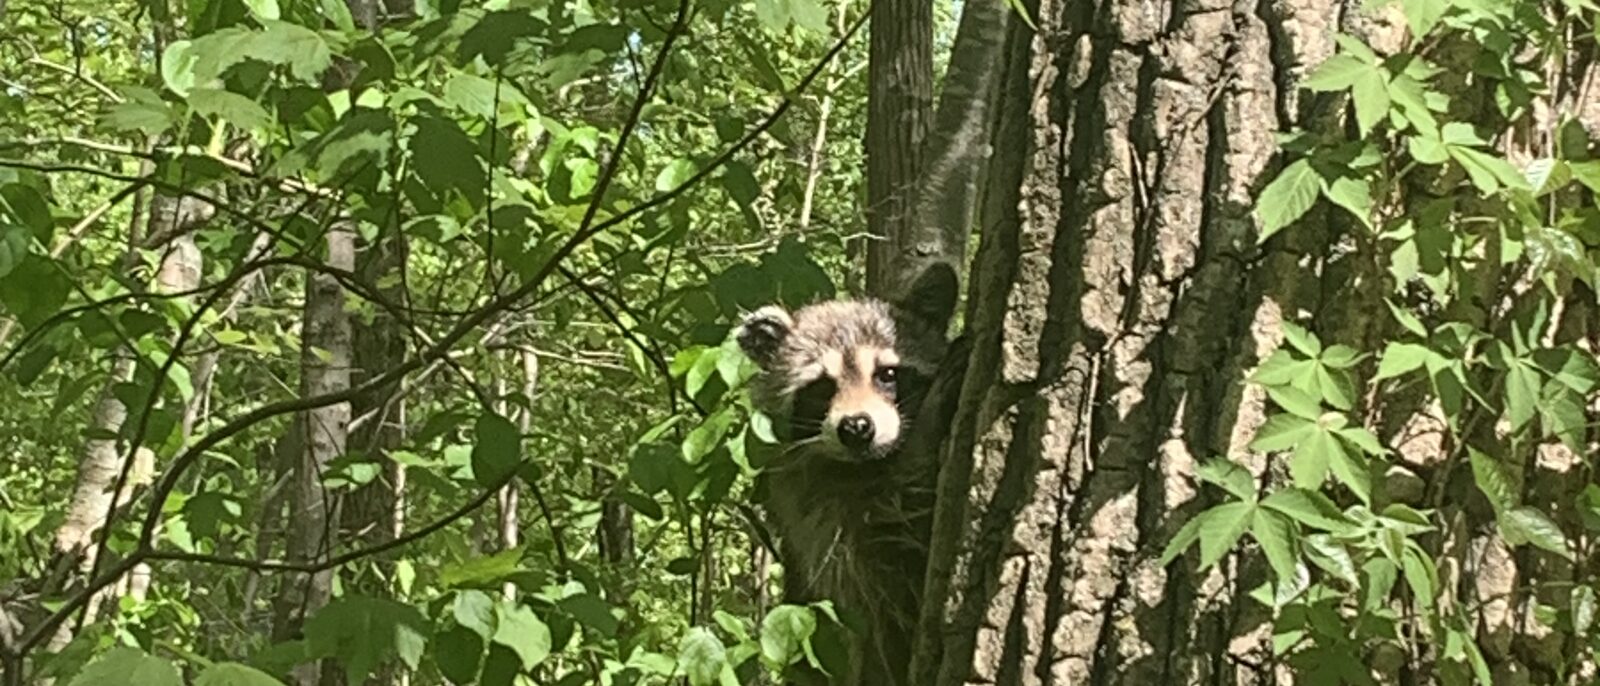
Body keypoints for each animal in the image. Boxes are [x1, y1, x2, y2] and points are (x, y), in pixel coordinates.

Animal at [737, 267, 960, 686]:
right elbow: (882, 560)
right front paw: (929, 426)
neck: (870, 465)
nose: (857, 427)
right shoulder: (815, 515)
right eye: (823, 386)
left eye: (887, 374)